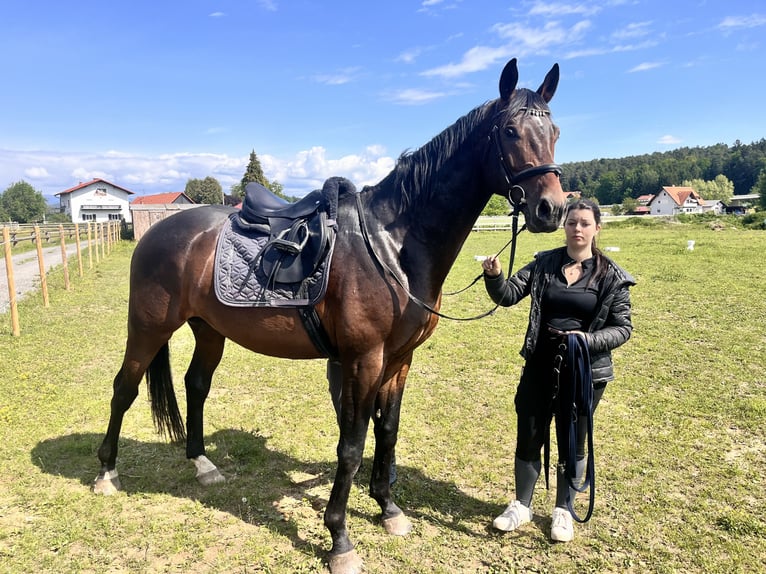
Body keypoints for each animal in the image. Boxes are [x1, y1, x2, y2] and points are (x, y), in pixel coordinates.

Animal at [93, 58, 566, 574]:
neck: (392, 244)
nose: (552, 209)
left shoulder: (399, 360)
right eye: (510, 131)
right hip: (148, 327)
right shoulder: (363, 359)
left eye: (554, 131)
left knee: (196, 386)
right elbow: (352, 445)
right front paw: (340, 538)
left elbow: (387, 431)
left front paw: (388, 509)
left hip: (209, 331)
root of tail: (157, 232)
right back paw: (106, 473)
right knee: (124, 388)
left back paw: (202, 464)